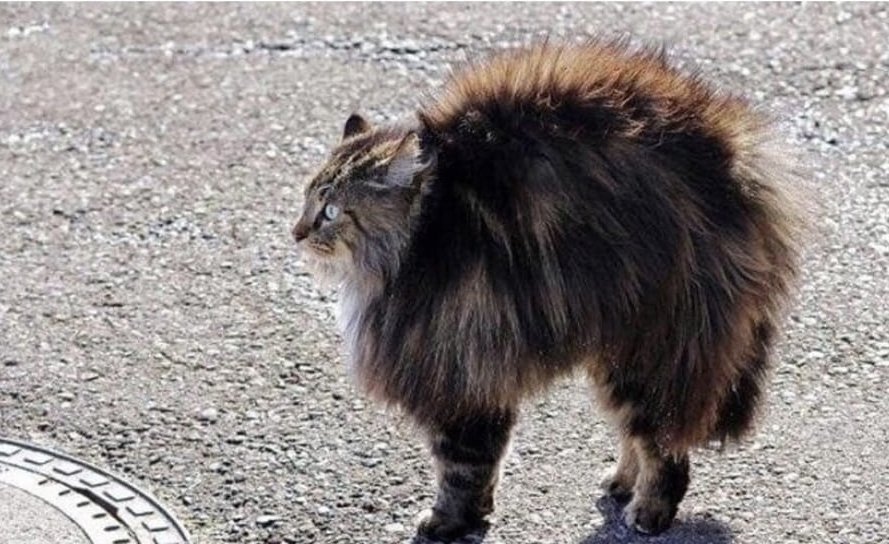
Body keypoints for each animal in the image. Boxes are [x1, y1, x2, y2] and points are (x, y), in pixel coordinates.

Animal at [292, 40, 806, 540]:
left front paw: (447, 522)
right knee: (639, 434)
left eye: (331, 212)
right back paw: (621, 482)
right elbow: (488, 462)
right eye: (306, 197)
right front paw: (479, 511)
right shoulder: (481, 369)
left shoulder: (458, 368)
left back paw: (648, 512)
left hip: (653, 347)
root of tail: (737, 156)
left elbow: (461, 467)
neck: (424, 236)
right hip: (617, 348)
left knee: (665, 444)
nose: (296, 232)